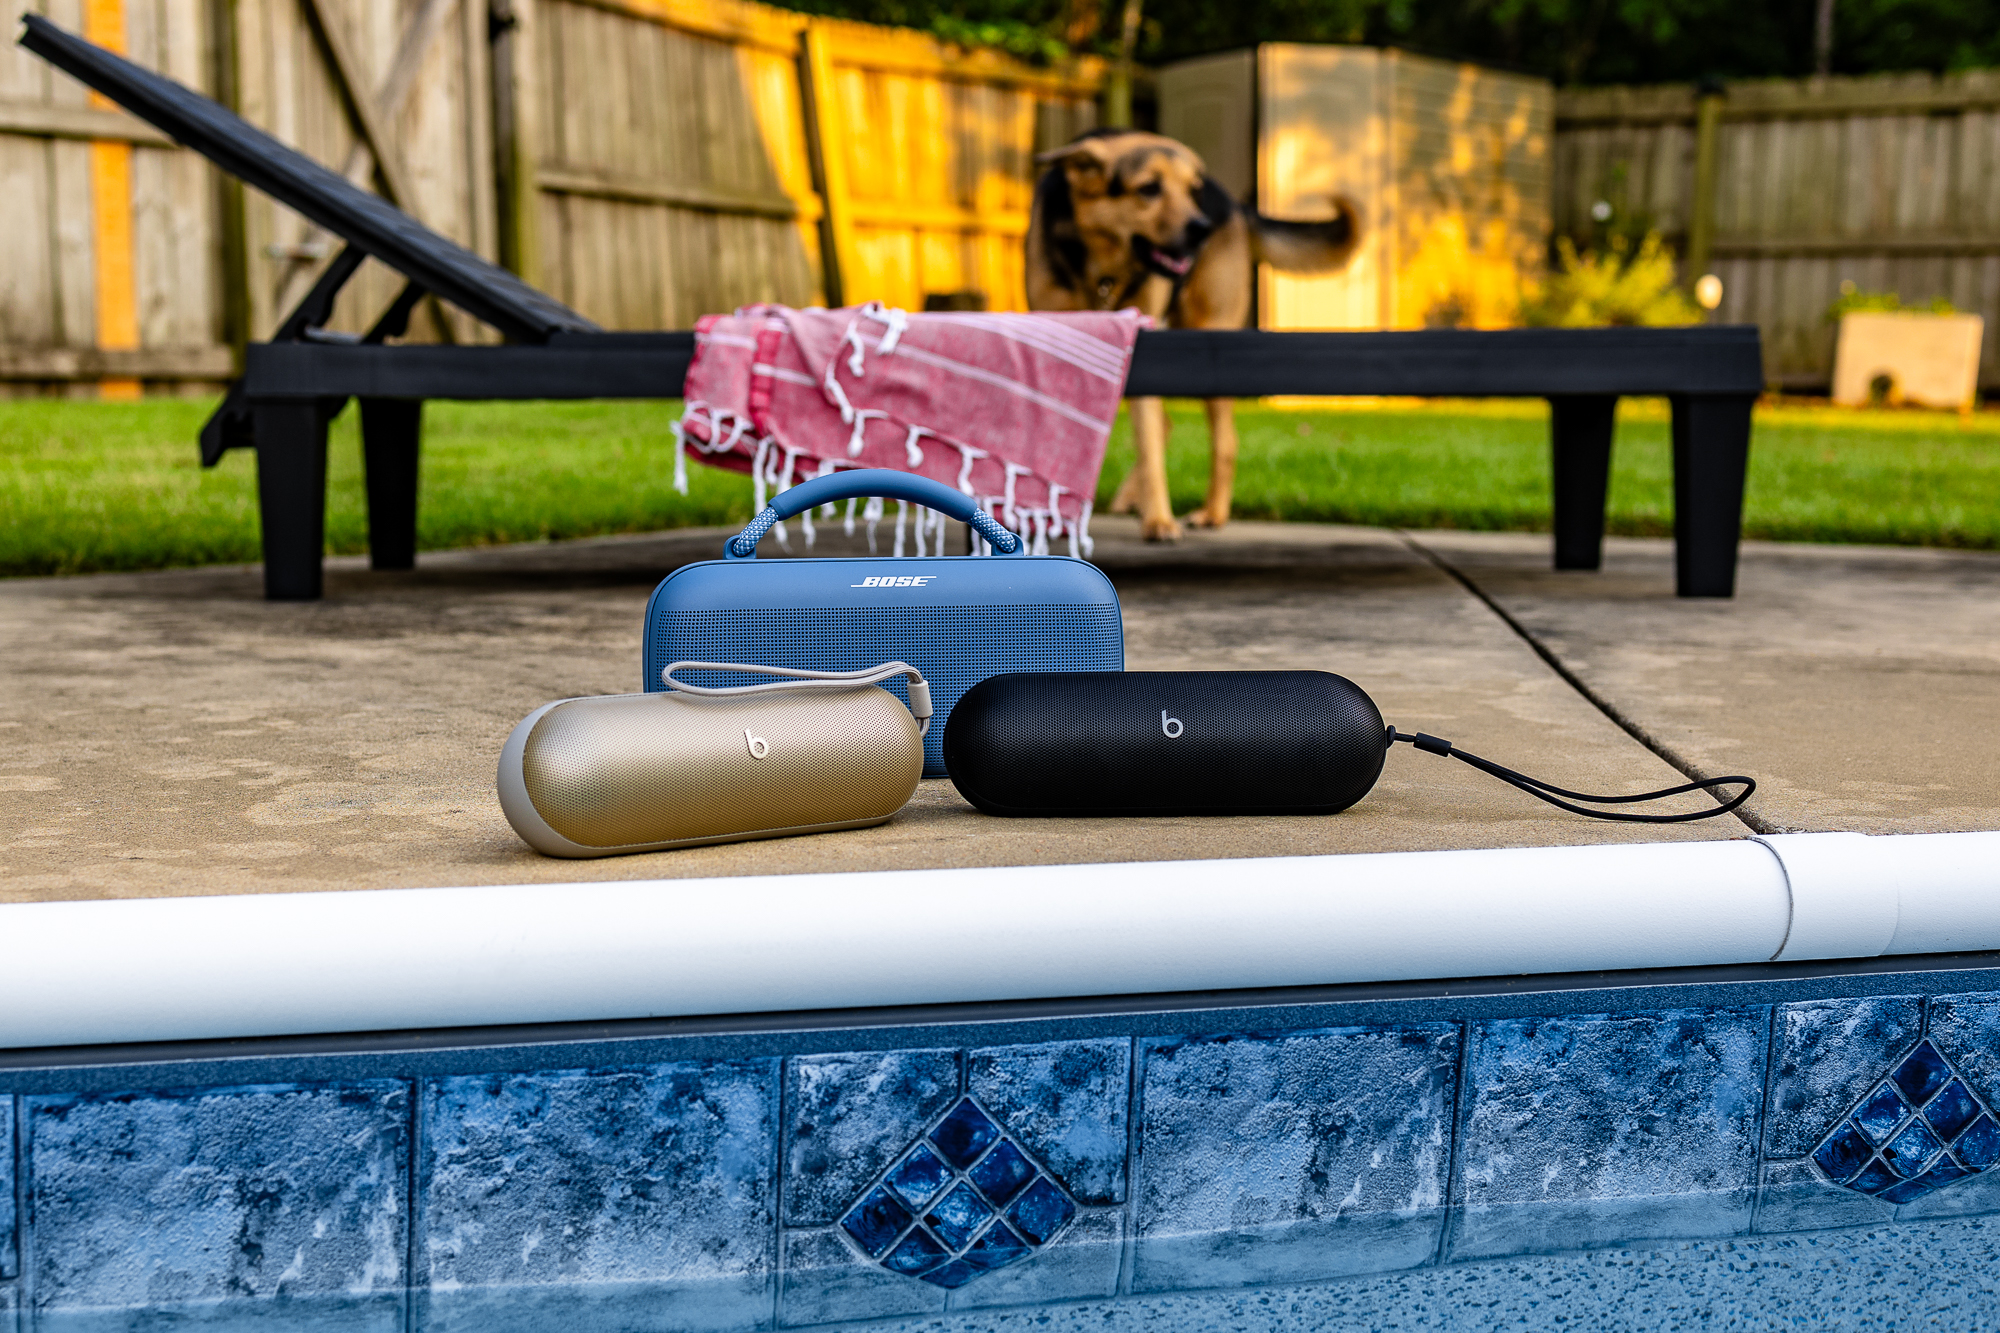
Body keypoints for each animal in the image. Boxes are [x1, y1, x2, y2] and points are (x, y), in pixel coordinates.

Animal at [1032, 128, 1360, 536]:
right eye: (1149, 188)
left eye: (1192, 191)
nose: (1202, 229)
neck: (1101, 266)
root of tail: (1234, 204)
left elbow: (1148, 442)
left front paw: (1159, 521)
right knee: (1166, 424)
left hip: (1208, 341)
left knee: (1222, 440)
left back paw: (1210, 513)